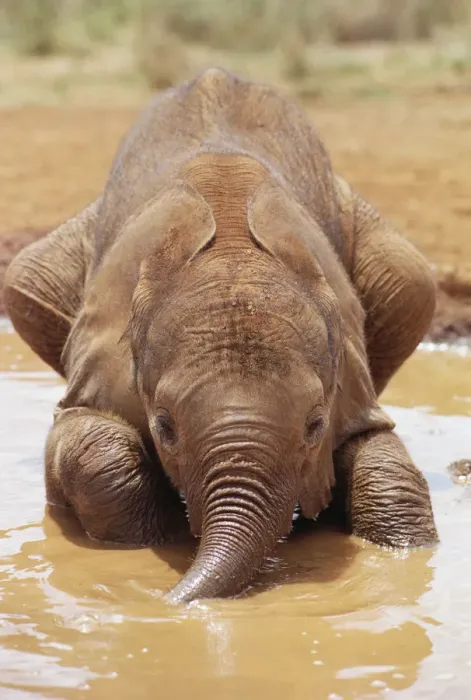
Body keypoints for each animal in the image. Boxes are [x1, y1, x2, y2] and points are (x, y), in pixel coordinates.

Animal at [3, 67, 438, 604]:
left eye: (315, 425)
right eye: (164, 427)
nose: (166, 602)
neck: (232, 242)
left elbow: (385, 466)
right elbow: (91, 441)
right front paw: (157, 539)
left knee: (411, 279)